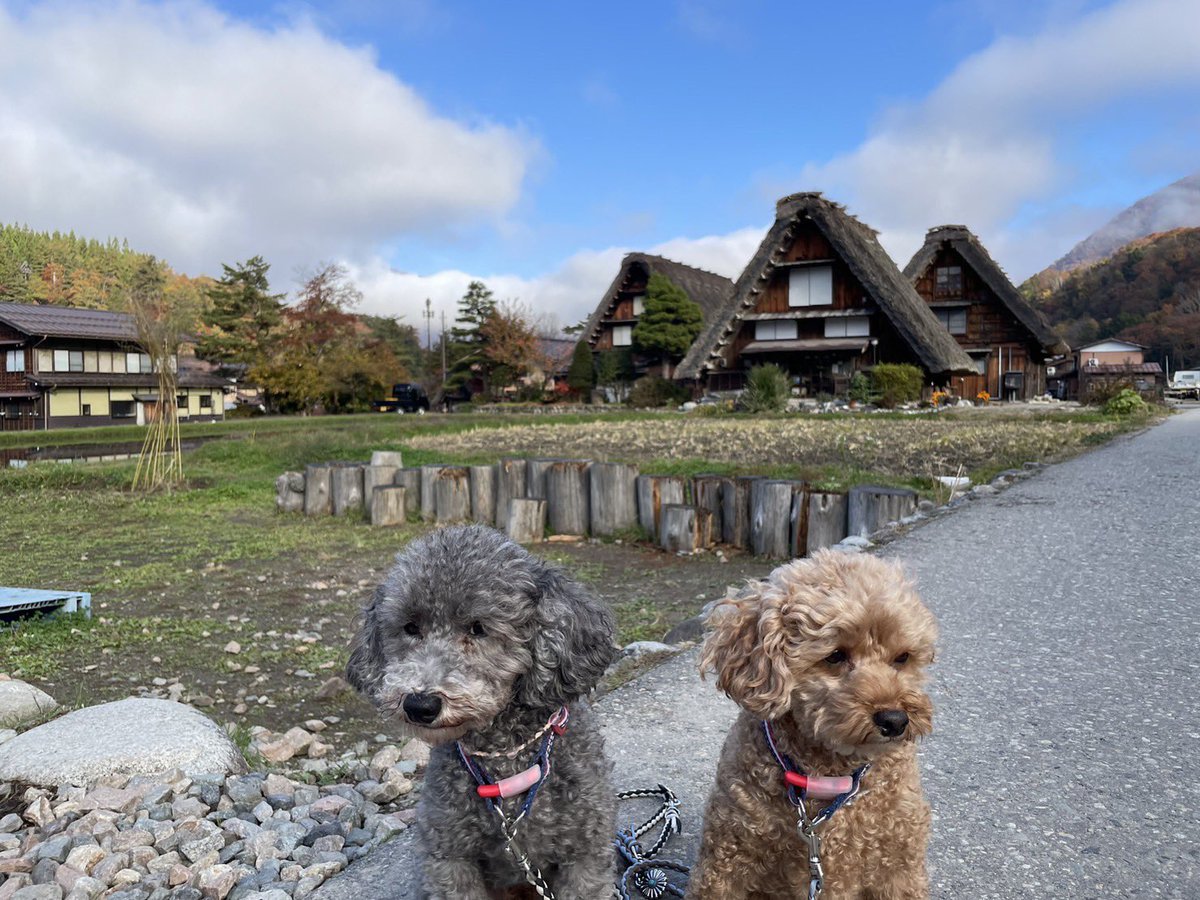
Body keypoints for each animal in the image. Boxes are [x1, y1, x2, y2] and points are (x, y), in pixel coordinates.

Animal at [346, 524, 617, 900]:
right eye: (411, 627)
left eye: (478, 628)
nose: (420, 704)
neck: (505, 756)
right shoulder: (449, 859)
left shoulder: (585, 856)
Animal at [687, 550, 938, 899]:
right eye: (835, 656)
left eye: (902, 657)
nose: (895, 720)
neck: (828, 773)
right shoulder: (727, 859)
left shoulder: (897, 862)